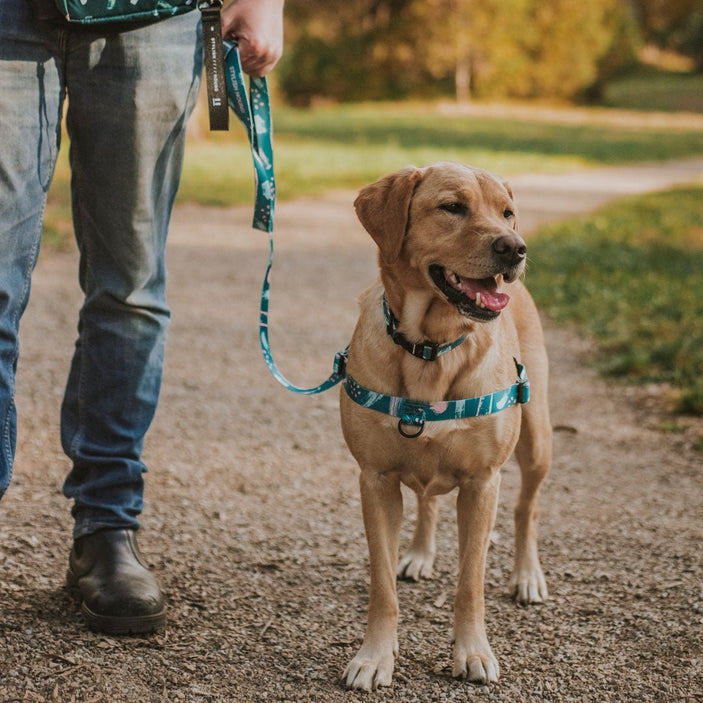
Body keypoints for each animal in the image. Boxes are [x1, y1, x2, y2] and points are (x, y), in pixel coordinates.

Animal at [342, 162, 556, 692]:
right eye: (452, 207)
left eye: (507, 211)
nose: (515, 248)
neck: (430, 348)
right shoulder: (375, 480)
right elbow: (382, 587)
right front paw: (374, 656)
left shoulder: (482, 483)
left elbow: (470, 583)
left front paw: (473, 652)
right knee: (427, 499)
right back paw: (419, 553)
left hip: (537, 440)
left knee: (528, 507)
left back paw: (527, 575)